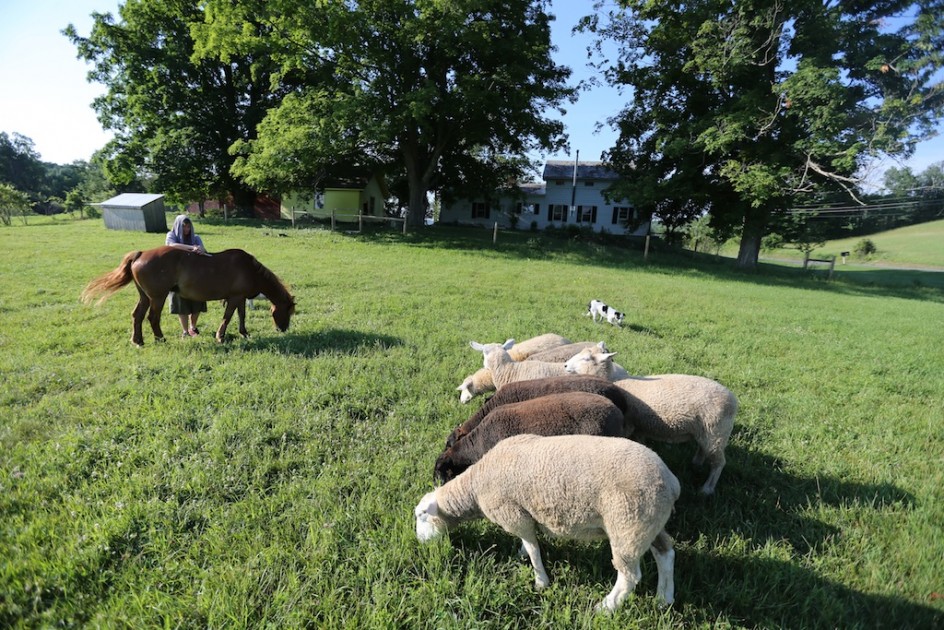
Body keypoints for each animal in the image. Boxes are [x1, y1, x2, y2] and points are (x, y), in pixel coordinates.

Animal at [81, 247, 296, 348]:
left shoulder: (240, 298)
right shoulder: (235, 298)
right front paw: (221, 336)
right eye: (287, 312)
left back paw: (138, 341)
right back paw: (160, 338)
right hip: (157, 297)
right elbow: (227, 317)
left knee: (137, 316)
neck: (250, 269)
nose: (283, 329)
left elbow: (241, 316)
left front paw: (244, 333)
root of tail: (140, 254)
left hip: (145, 297)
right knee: (152, 318)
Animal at [412, 434, 680, 612]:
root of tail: (671, 481)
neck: (475, 487)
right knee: (665, 554)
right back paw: (664, 598)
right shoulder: (524, 516)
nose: (420, 543)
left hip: (627, 525)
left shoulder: (515, 515)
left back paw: (605, 607)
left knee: (629, 577)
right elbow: (528, 545)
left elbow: (533, 549)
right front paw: (522, 555)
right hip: (648, 524)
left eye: (421, 516)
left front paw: (541, 581)